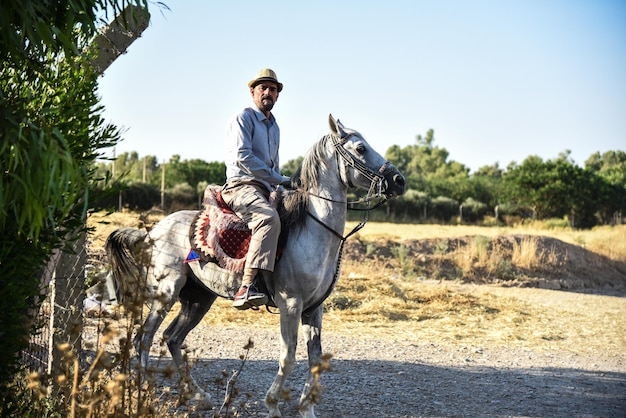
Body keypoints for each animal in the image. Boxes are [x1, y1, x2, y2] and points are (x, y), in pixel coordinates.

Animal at [104, 115, 402, 418]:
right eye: (361, 148)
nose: (398, 180)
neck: (312, 229)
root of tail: (152, 231)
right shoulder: (291, 304)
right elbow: (288, 357)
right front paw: (272, 405)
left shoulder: (314, 309)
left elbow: (315, 359)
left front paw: (306, 408)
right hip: (166, 292)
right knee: (144, 337)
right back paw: (144, 392)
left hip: (198, 299)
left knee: (172, 338)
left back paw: (198, 395)